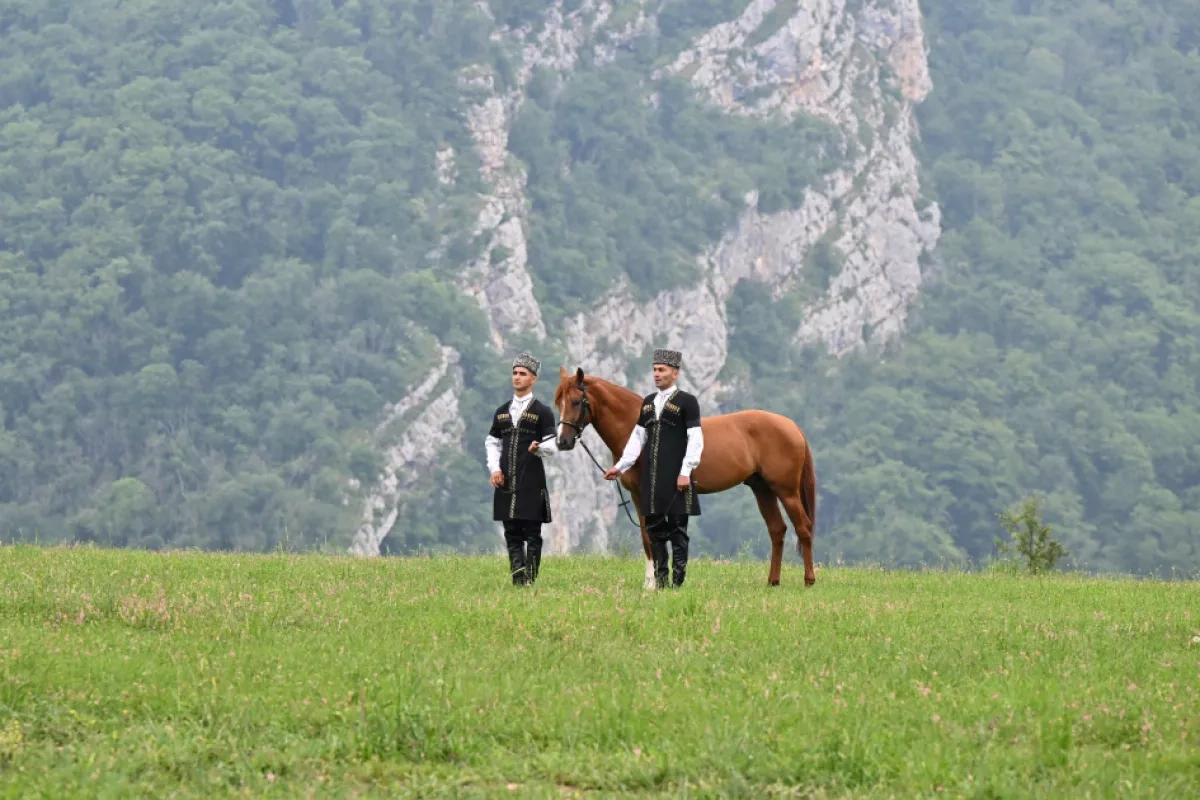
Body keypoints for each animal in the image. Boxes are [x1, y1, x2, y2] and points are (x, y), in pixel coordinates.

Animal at [552, 367, 817, 589]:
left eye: (575, 401)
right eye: (558, 403)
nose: (562, 441)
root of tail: (792, 427)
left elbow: (652, 536)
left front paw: (653, 584)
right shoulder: (639, 497)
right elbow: (647, 538)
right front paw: (652, 583)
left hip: (786, 491)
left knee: (803, 528)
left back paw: (808, 580)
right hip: (762, 489)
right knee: (777, 530)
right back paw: (773, 582)